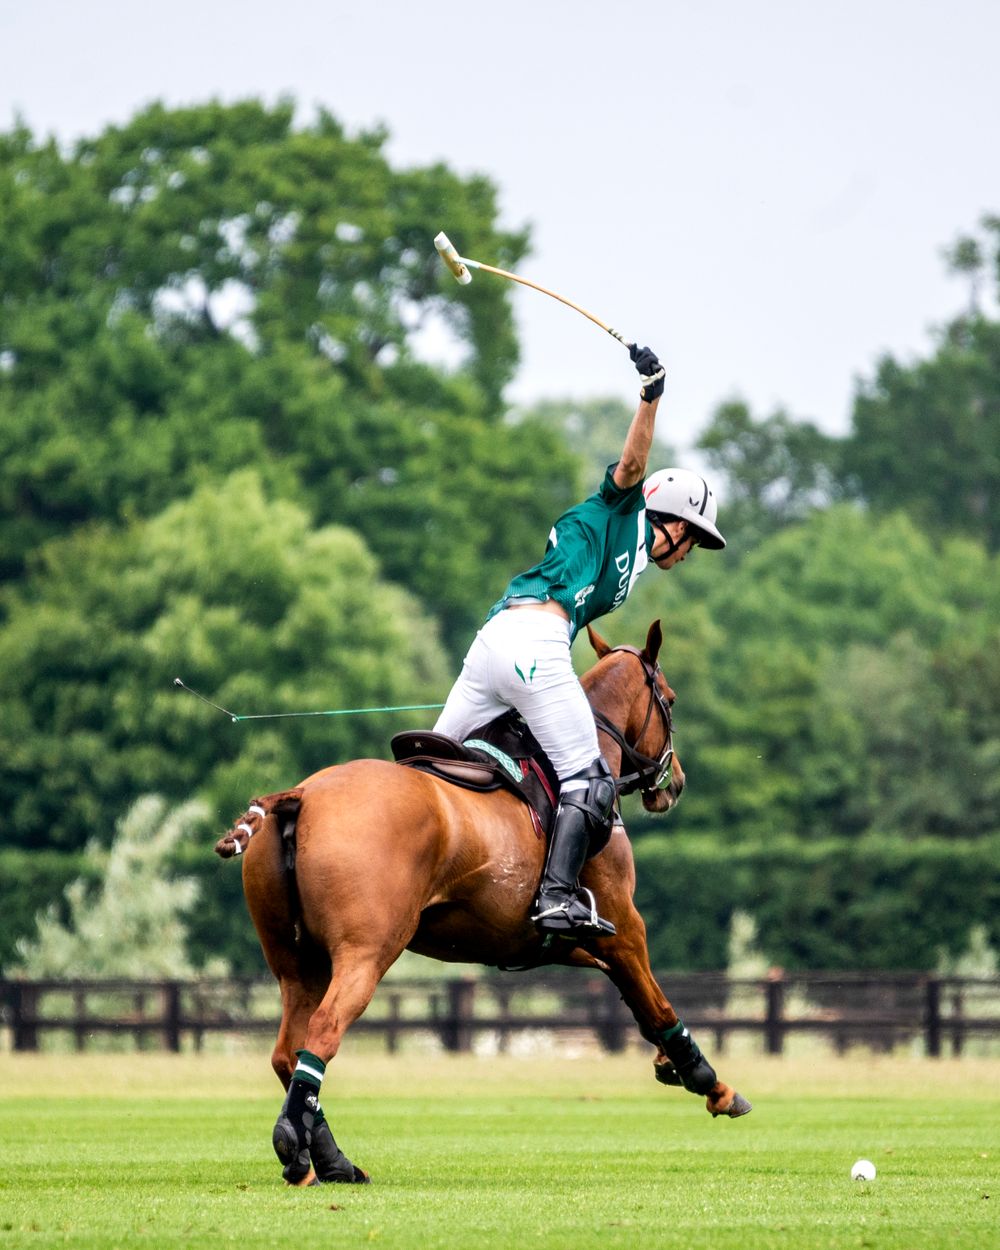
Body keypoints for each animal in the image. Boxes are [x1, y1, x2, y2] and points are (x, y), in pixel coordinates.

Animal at [215, 619, 751, 1185]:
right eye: (669, 699)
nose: (675, 783)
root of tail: (299, 795)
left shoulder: (562, 941)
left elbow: (634, 996)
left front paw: (667, 1063)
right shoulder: (625, 927)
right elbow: (659, 1002)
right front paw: (709, 1081)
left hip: (298, 965)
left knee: (285, 1051)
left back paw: (326, 1158)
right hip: (365, 953)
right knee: (320, 1036)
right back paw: (302, 1151)